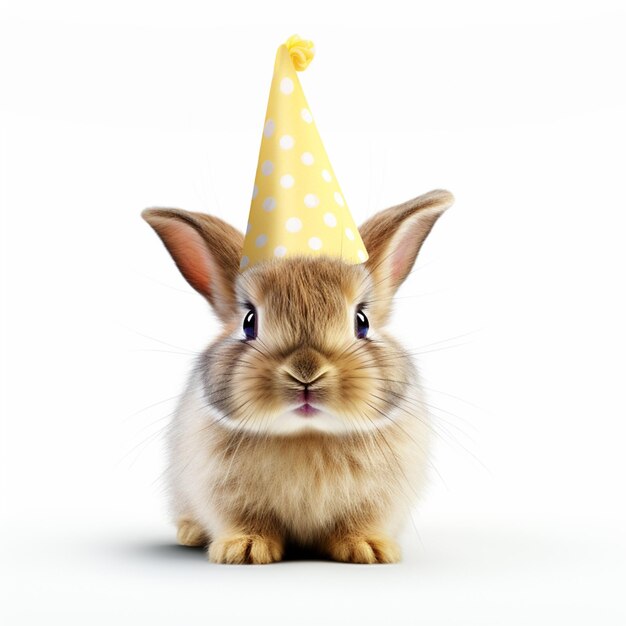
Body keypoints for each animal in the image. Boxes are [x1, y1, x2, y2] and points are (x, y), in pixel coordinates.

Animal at [141, 188, 454, 564]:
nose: (306, 373)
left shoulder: (377, 499)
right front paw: (244, 550)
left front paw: (370, 549)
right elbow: (244, 519)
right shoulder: (224, 493)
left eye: (361, 321)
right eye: (249, 322)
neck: (307, 435)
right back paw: (190, 532)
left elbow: (359, 522)